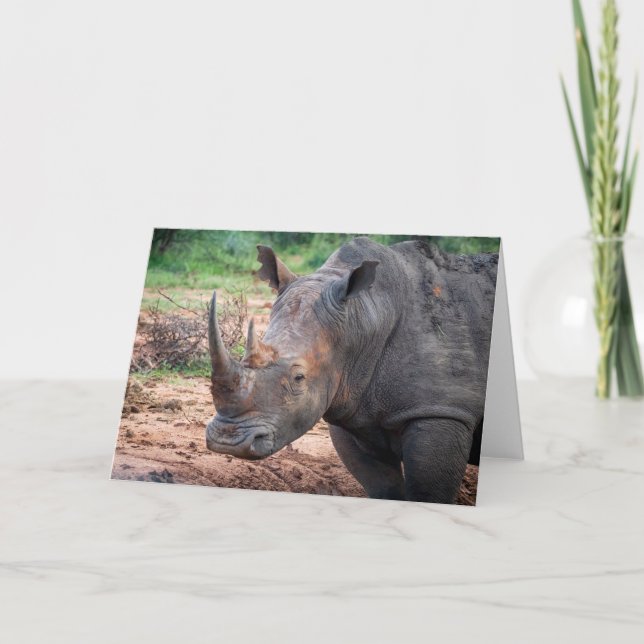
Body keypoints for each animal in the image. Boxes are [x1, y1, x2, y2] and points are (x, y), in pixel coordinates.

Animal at [206, 236, 498, 504]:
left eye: (299, 378)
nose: (227, 441)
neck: (362, 316)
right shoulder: (351, 407)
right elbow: (384, 488)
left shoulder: (443, 411)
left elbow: (428, 493)